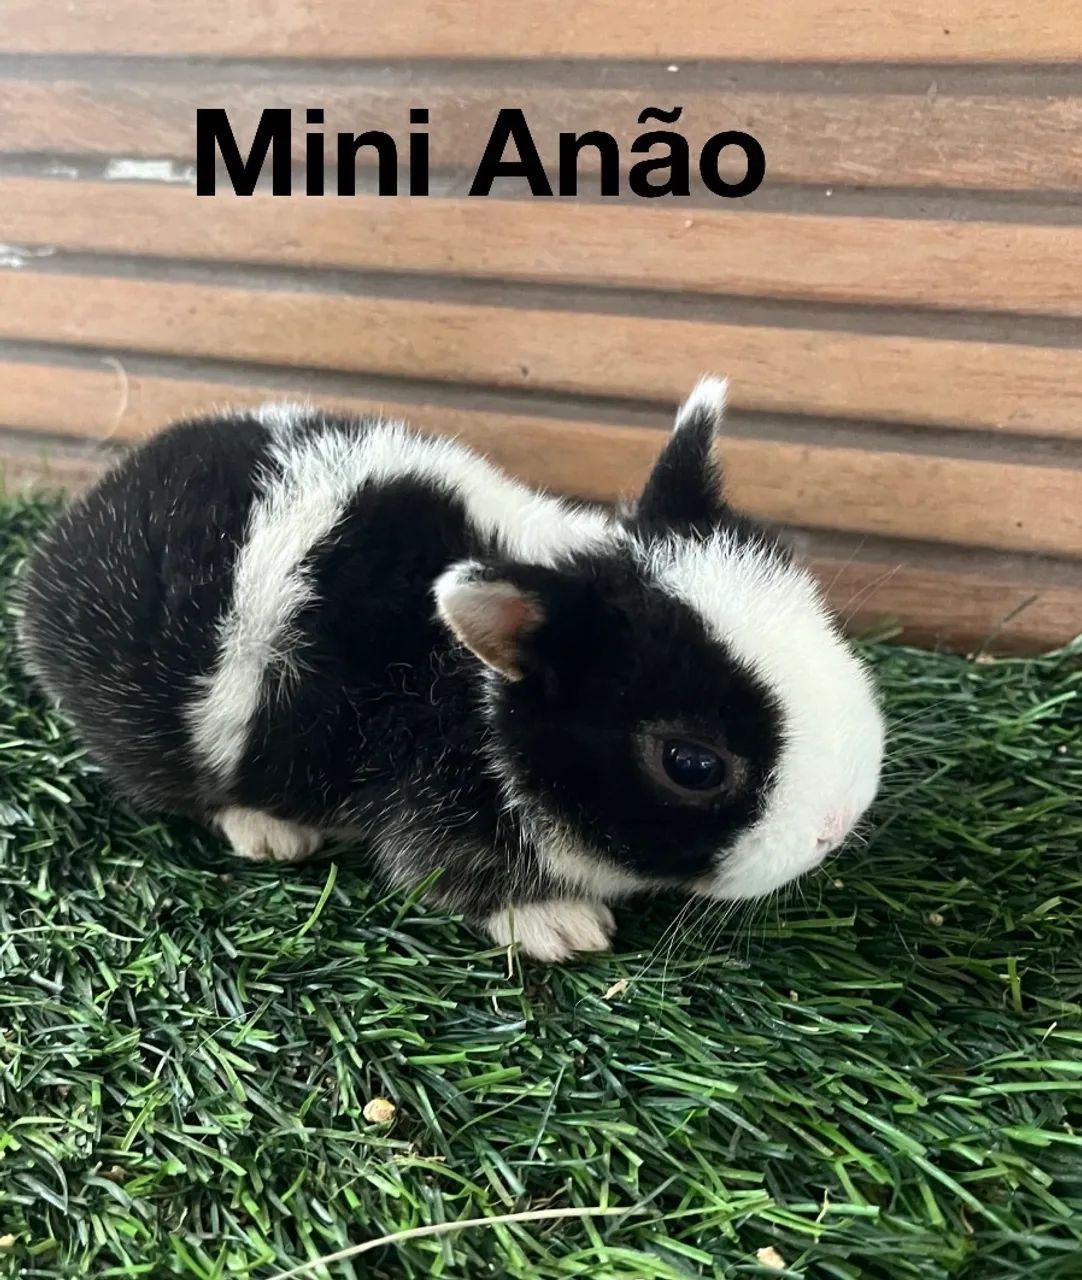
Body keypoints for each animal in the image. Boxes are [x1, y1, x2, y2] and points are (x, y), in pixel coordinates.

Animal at [17, 377, 885, 961]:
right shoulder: (427, 801)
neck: (475, 699)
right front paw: (561, 926)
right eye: (692, 764)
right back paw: (269, 832)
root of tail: (65, 540)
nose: (836, 825)